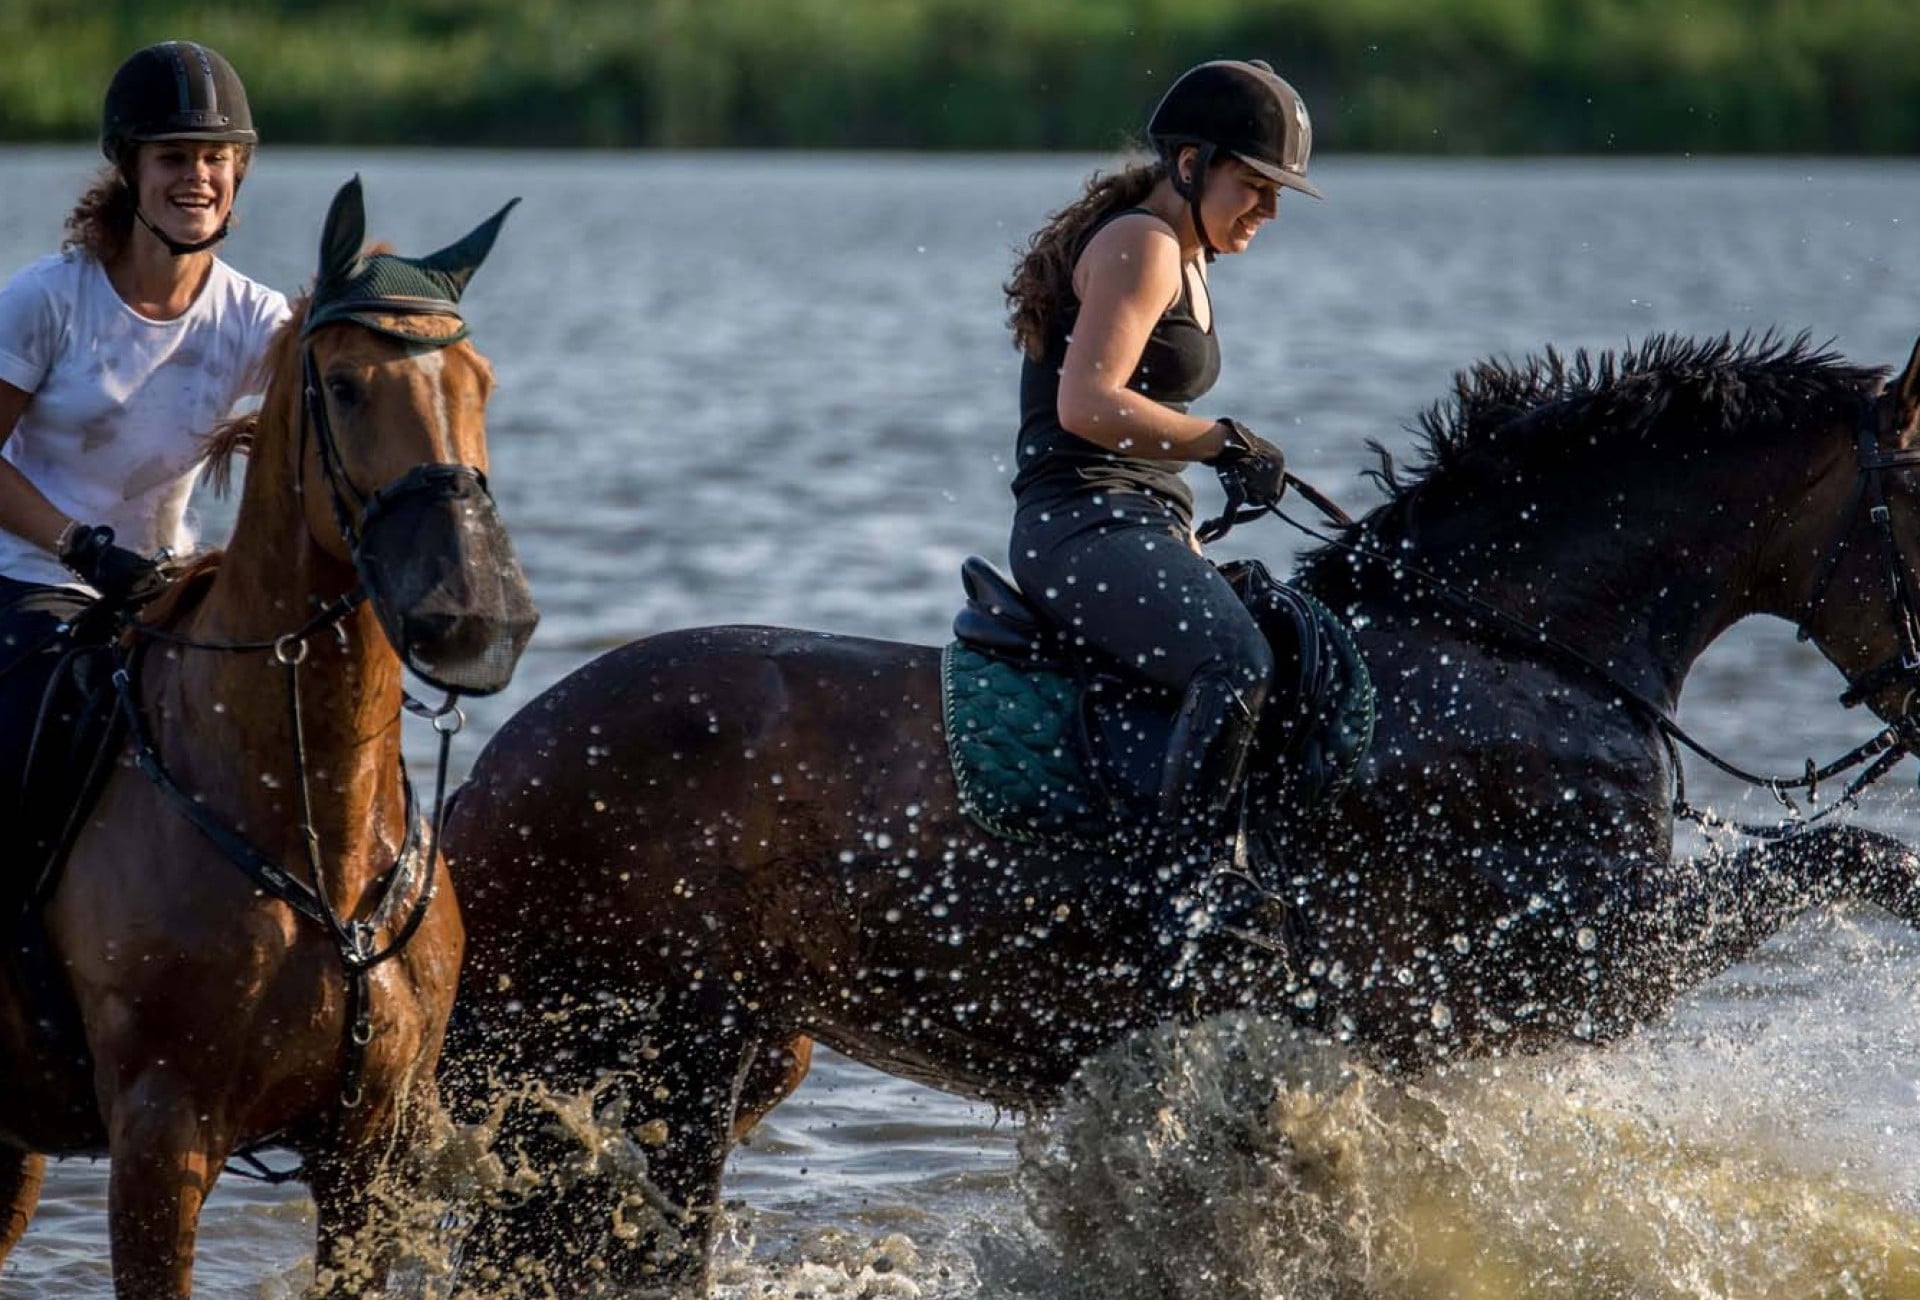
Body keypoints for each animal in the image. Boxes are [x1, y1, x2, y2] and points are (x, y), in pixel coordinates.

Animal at [441, 332, 1920, 1290]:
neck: (1507, 652)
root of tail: (498, 766)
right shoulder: (1565, 966)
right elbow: (1851, 853)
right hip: (657, 1058)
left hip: (721, 1054)